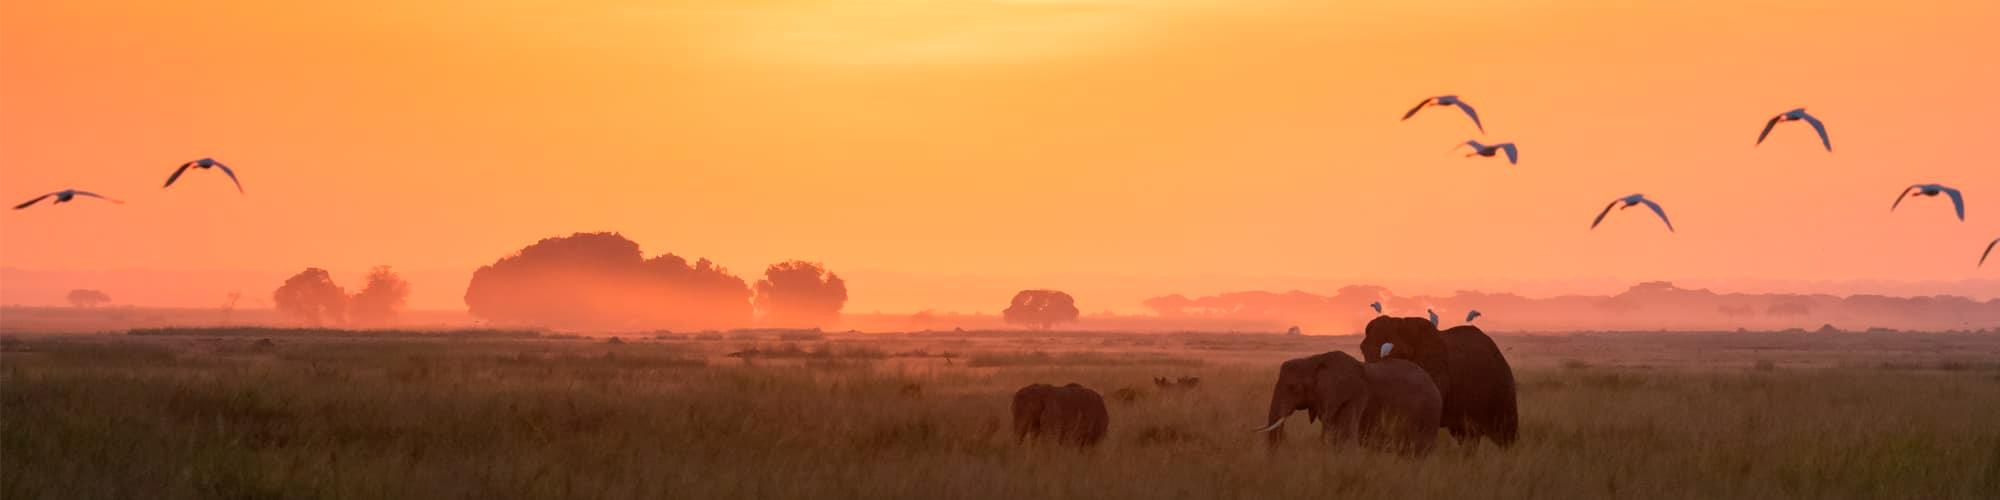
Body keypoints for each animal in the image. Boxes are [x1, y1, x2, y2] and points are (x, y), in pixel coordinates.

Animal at [1360, 314, 1512, 448]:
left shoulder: (1437, 367)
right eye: (1363, 350)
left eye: (1400, 353)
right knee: (1466, 436)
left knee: (1504, 435)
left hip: (1502, 384)